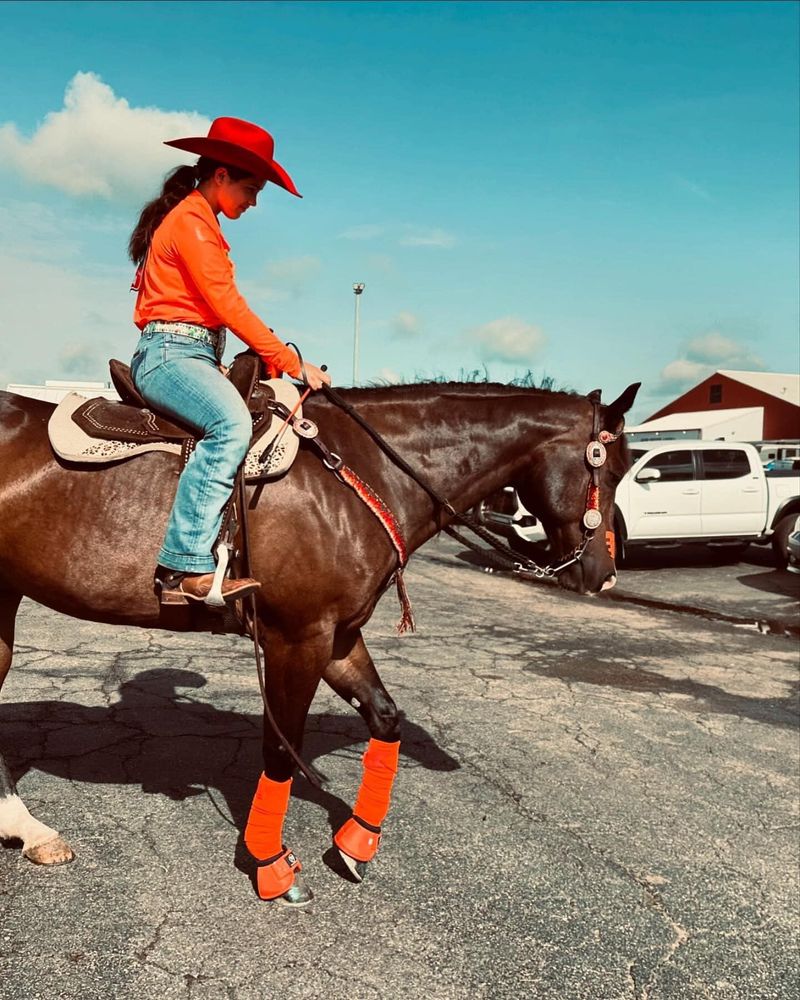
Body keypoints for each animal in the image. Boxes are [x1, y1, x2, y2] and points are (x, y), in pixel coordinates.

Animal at [0, 382, 636, 900]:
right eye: (608, 470)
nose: (604, 575)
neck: (362, 474)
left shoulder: (338, 637)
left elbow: (385, 719)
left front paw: (357, 845)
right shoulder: (297, 638)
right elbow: (281, 750)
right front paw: (271, 866)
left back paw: (26, 829)